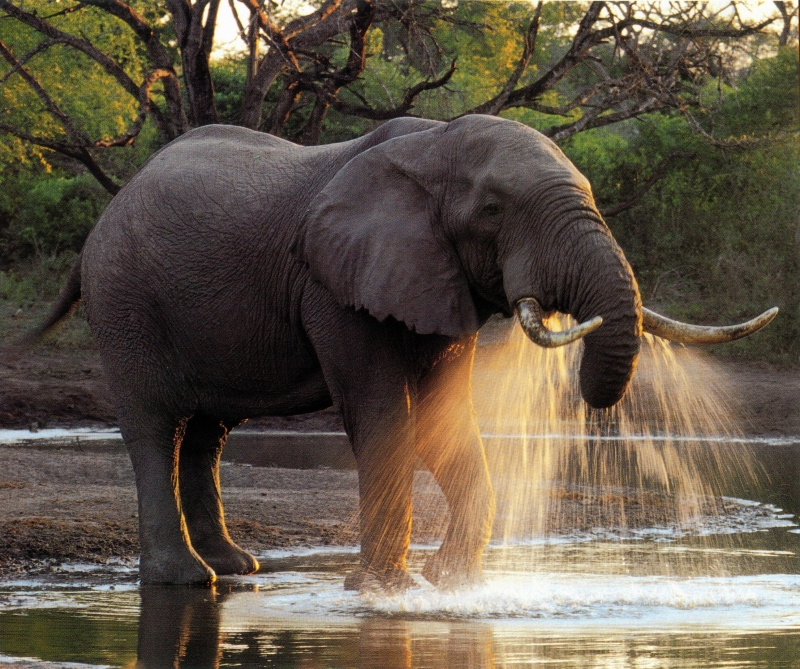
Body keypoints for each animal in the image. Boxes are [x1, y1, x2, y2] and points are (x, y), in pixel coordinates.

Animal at [23, 115, 776, 588]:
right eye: (493, 209)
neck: (433, 145)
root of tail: (107, 213)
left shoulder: (436, 277)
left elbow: (444, 416)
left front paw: (452, 584)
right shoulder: (334, 284)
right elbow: (384, 413)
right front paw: (382, 590)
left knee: (207, 433)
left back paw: (238, 569)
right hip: (124, 299)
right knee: (156, 426)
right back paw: (188, 580)